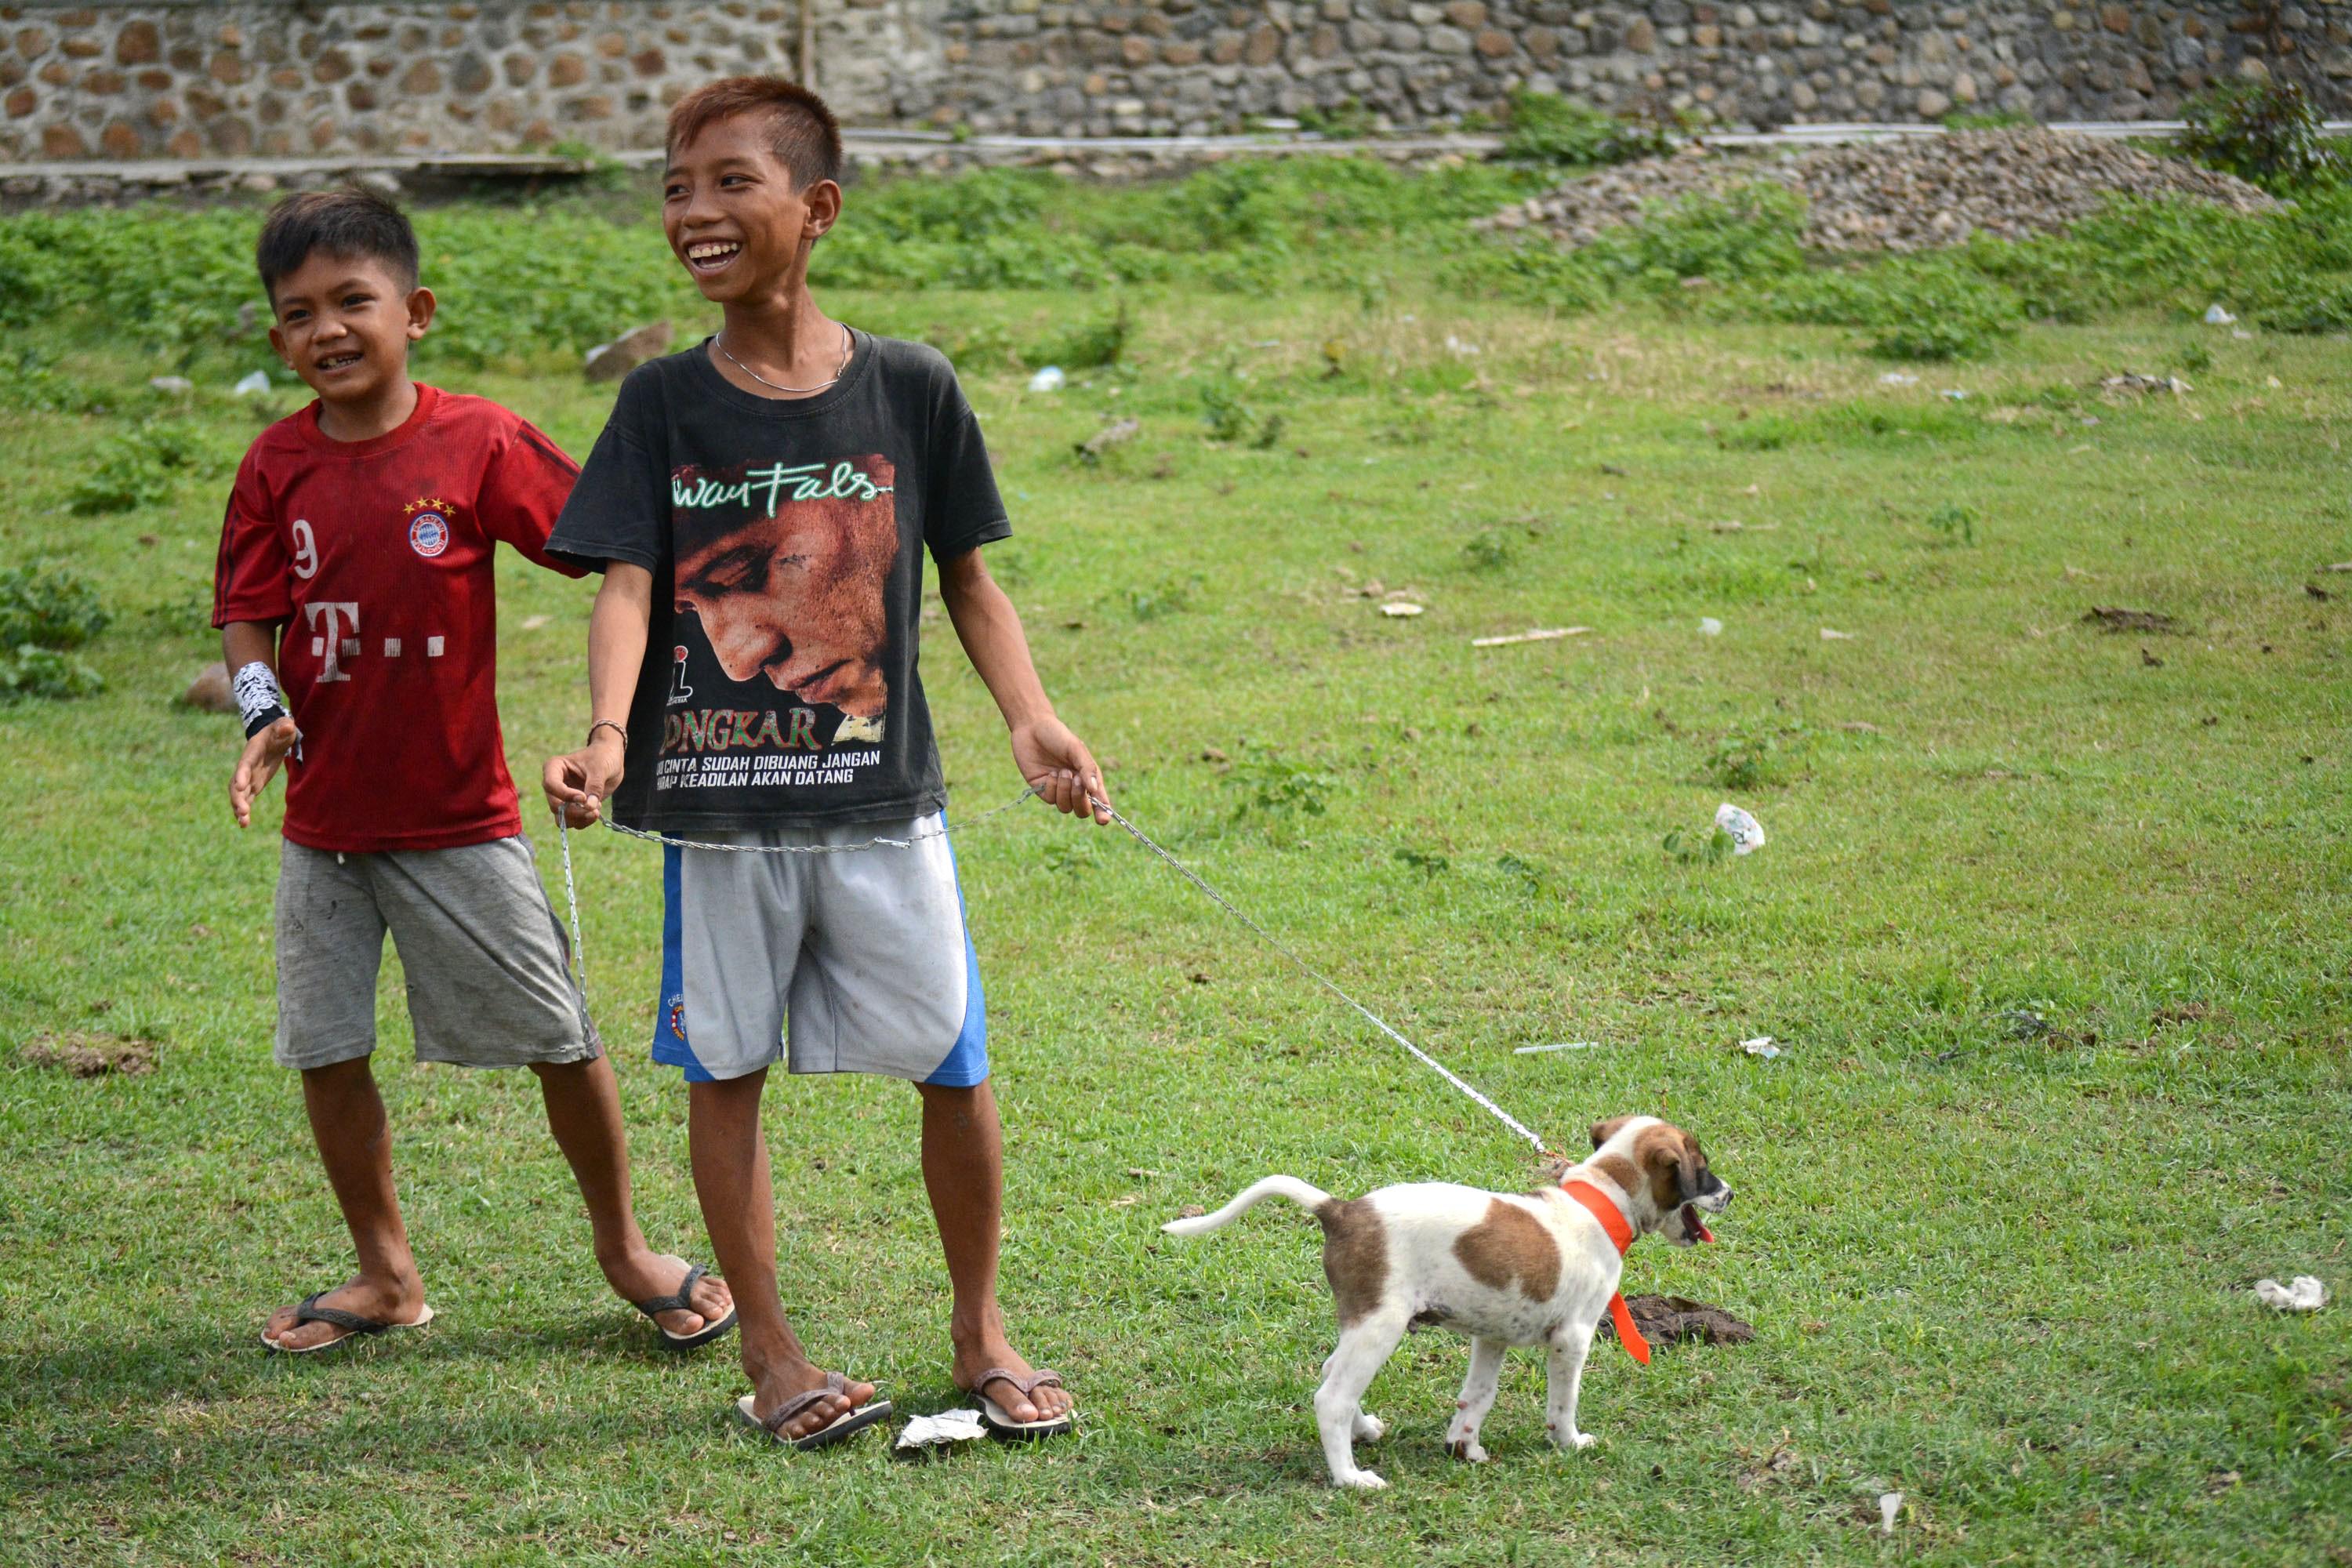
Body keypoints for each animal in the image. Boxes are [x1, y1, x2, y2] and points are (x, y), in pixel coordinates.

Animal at [1157, 1109, 1731, 1495]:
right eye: (1702, 1167)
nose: (1730, 1193)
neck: (1600, 1200)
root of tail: (1340, 1210)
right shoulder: (1573, 1338)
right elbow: (1562, 1403)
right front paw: (1570, 1443)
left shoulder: (1491, 1336)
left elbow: (1477, 1397)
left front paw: (1465, 1447)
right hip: (1381, 1325)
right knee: (1331, 1397)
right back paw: (1350, 1477)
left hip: (1363, 1323)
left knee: (1330, 1371)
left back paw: (1364, 1430)